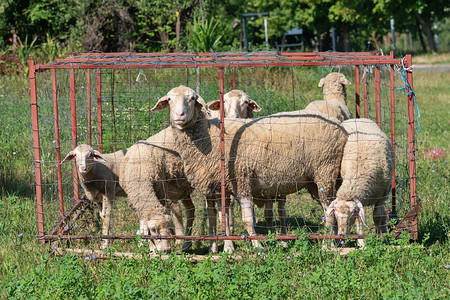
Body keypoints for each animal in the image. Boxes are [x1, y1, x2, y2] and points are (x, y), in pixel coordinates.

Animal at [151, 84, 348, 253]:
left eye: (192, 98)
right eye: (169, 99)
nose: (179, 115)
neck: (209, 139)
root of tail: (340, 127)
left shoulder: (241, 180)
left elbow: (247, 220)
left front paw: (257, 247)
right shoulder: (220, 187)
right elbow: (221, 218)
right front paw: (223, 247)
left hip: (325, 171)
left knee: (329, 209)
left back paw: (327, 245)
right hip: (316, 180)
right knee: (331, 208)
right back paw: (335, 242)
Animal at [324, 118, 394, 246]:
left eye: (351, 214)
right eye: (335, 214)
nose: (341, 235)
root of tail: (357, 118)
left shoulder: (383, 196)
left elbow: (378, 216)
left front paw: (380, 237)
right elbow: (359, 220)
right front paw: (361, 242)